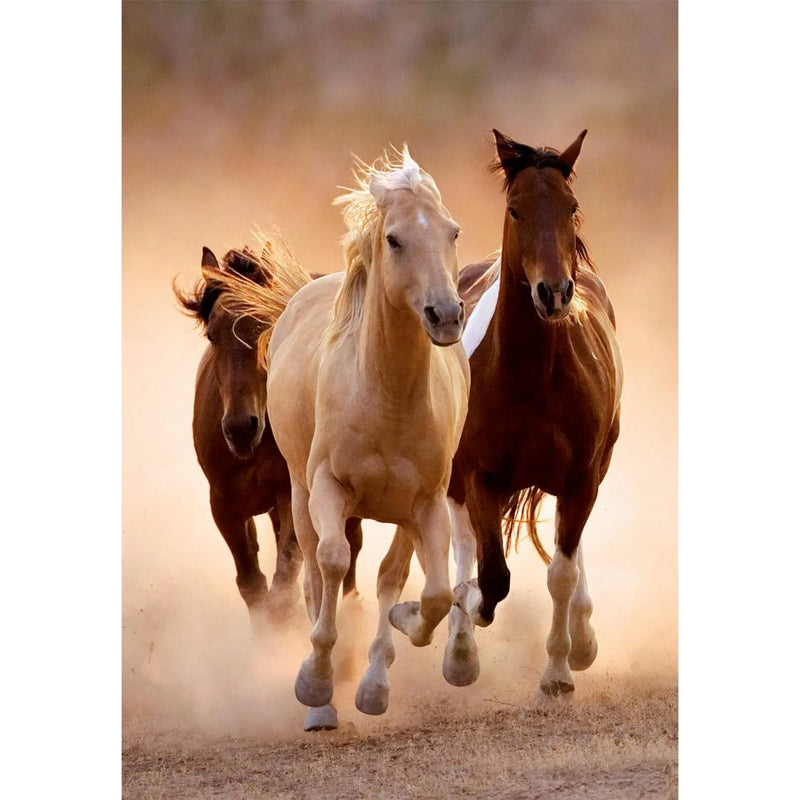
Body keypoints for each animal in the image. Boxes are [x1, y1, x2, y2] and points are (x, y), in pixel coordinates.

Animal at [173, 243, 363, 637]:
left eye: (267, 327)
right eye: (212, 336)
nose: (240, 428)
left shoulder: (291, 495)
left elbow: (284, 581)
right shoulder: (224, 504)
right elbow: (253, 584)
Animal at [213, 147, 469, 731]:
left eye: (453, 231)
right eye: (394, 239)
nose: (445, 316)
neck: (387, 397)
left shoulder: (426, 504)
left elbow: (430, 592)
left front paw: (396, 638)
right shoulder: (327, 488)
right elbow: (330, 564)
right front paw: (315, 683)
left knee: (390, 575)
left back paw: (373, 679)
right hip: (299, 495)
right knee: (313, 572)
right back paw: (322, 703)